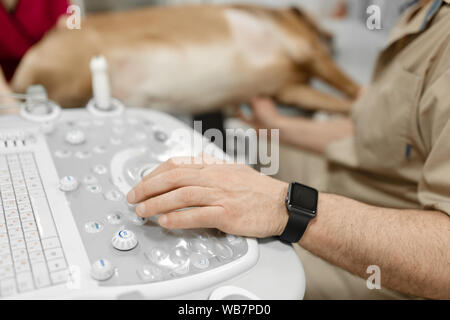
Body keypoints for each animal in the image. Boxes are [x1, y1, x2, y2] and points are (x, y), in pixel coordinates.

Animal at [10, 4, 360, 114]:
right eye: (318, 24)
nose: (335, 39)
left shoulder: (291, 91)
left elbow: (345, 107)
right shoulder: (308, 51)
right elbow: (354, 90)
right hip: (75, 77)